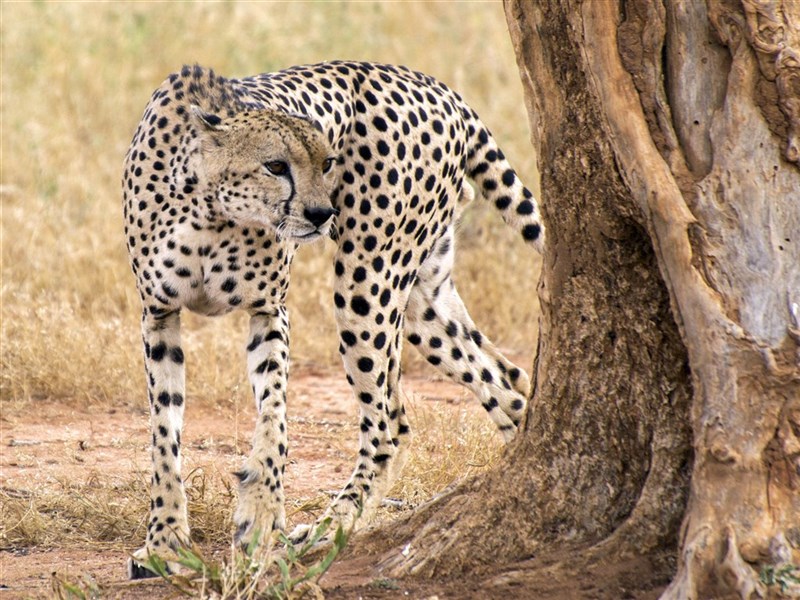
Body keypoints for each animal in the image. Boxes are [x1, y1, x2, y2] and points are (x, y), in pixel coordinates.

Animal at [123, 62, 544, 576]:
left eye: (327, 163)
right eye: (276, 166)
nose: (322, 213)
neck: (210, 211)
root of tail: (435, 85)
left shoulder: (270, 311)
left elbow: (274, 421)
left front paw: (261, 516)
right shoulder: (159, 315)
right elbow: (164, 435)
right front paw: (164, 541)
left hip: (368, 279)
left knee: (389, 425)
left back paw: (323, 531)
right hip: (424, 303)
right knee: (506, 382)